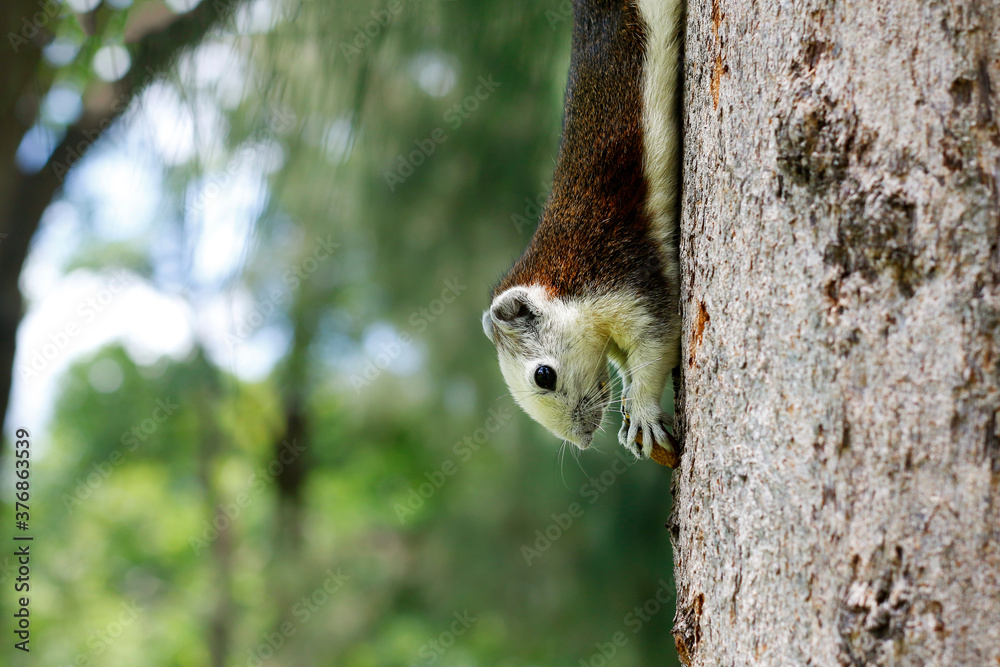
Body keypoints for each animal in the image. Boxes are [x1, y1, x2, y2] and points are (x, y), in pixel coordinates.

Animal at [480, 0, 684, 462]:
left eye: (543, 375)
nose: (583, 440)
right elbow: (629, 363)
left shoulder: (626, 281)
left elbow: (658, 344)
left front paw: (642, 414)